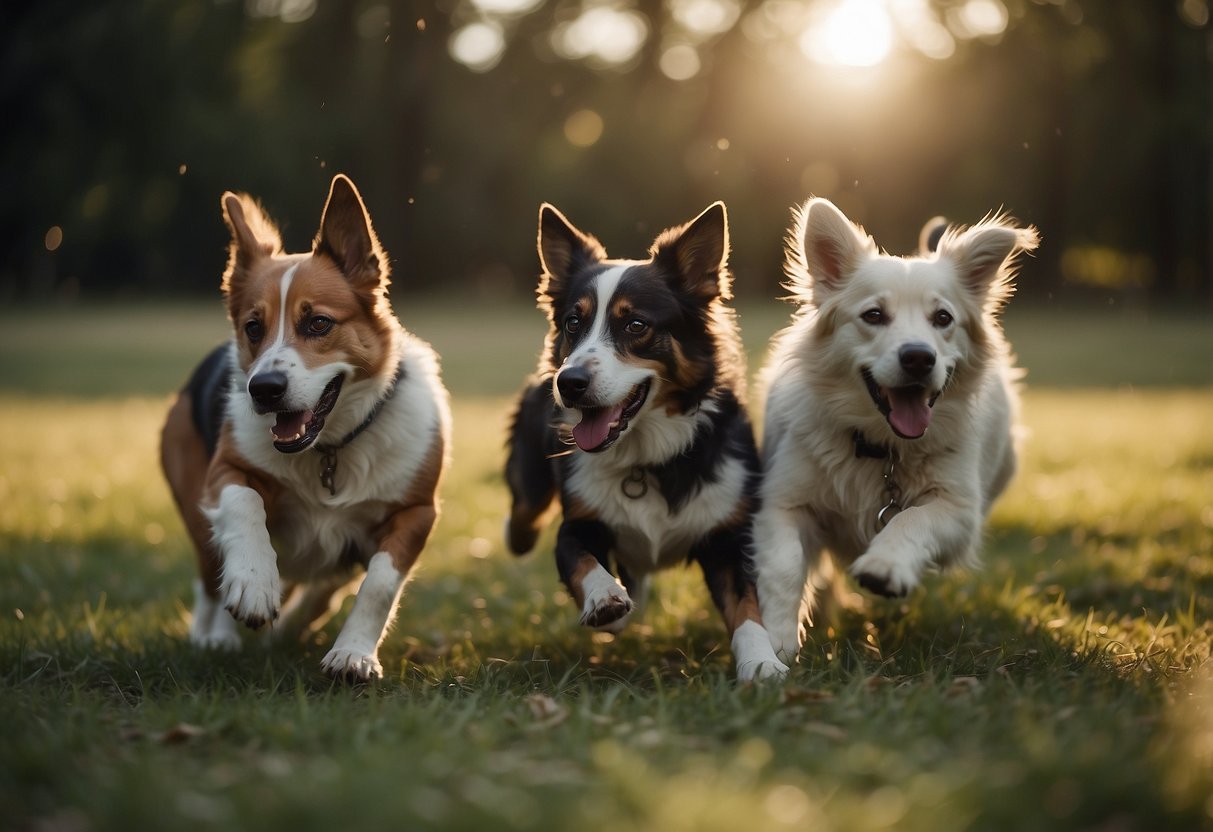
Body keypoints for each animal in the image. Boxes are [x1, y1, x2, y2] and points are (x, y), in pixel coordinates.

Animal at [158, 175, 448, 684]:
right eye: (254, 327)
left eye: (318, 323)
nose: (264, 390)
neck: (329, 448)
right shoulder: (225, 472)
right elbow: (245, 505)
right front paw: (255, 585)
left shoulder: (415, 512)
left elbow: (378, 583)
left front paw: (352, 654)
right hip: (195, 508)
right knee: (210, 577)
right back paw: (216, 636)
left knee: (327, 585)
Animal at [742, 198, 1038, 679]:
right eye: (874, 316)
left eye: (943, 319)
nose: (918, 357)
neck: (883, 447)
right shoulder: (782, 502)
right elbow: (784, 565)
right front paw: (777, 640)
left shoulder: (959, 513)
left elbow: (909, 520)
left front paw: (884, 566)